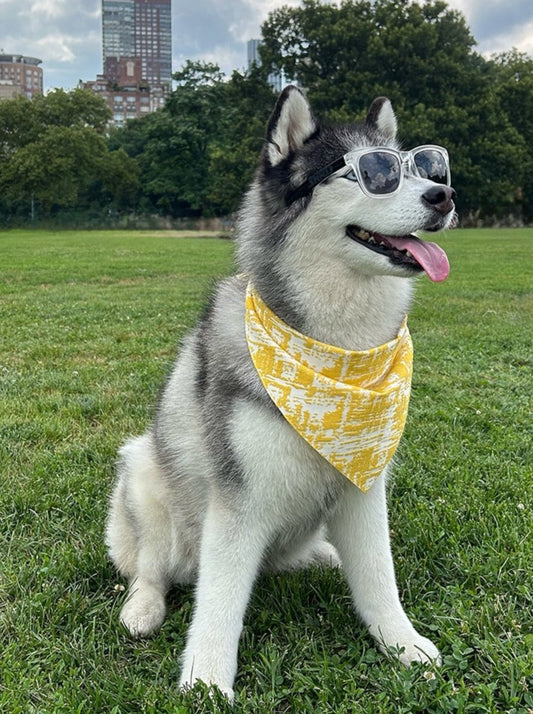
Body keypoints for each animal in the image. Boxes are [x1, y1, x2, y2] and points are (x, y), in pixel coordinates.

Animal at [106, 86, 456, 700]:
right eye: (375, 173)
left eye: (426, 167)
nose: (445, 195)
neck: (336, 351)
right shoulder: (238, 499)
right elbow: (220, 598)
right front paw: (207, 681)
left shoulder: (365, 481)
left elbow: (379, 577)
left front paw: (402, 644)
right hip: (145, 469)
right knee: (151, 565)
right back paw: (143, 606)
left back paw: (320, 556)